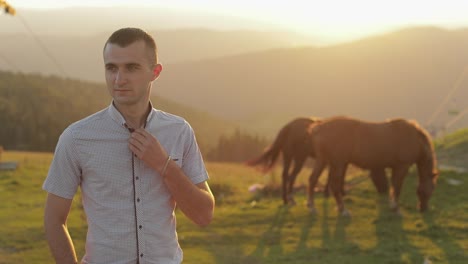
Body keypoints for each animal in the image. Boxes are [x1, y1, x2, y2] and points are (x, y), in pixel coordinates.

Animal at [308, 116, 438, 216]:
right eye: (432, 189)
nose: (423, 208)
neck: (413, 137)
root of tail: (319, 127)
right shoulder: (402, 166)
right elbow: (397, 188)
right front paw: (396, 209)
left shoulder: (396, 167)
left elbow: (394, 186)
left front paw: (392, 206)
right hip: (338, 163)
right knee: (334, 185)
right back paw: (343, 210)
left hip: (323, 160)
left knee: (313, 179)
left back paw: (312, 207)